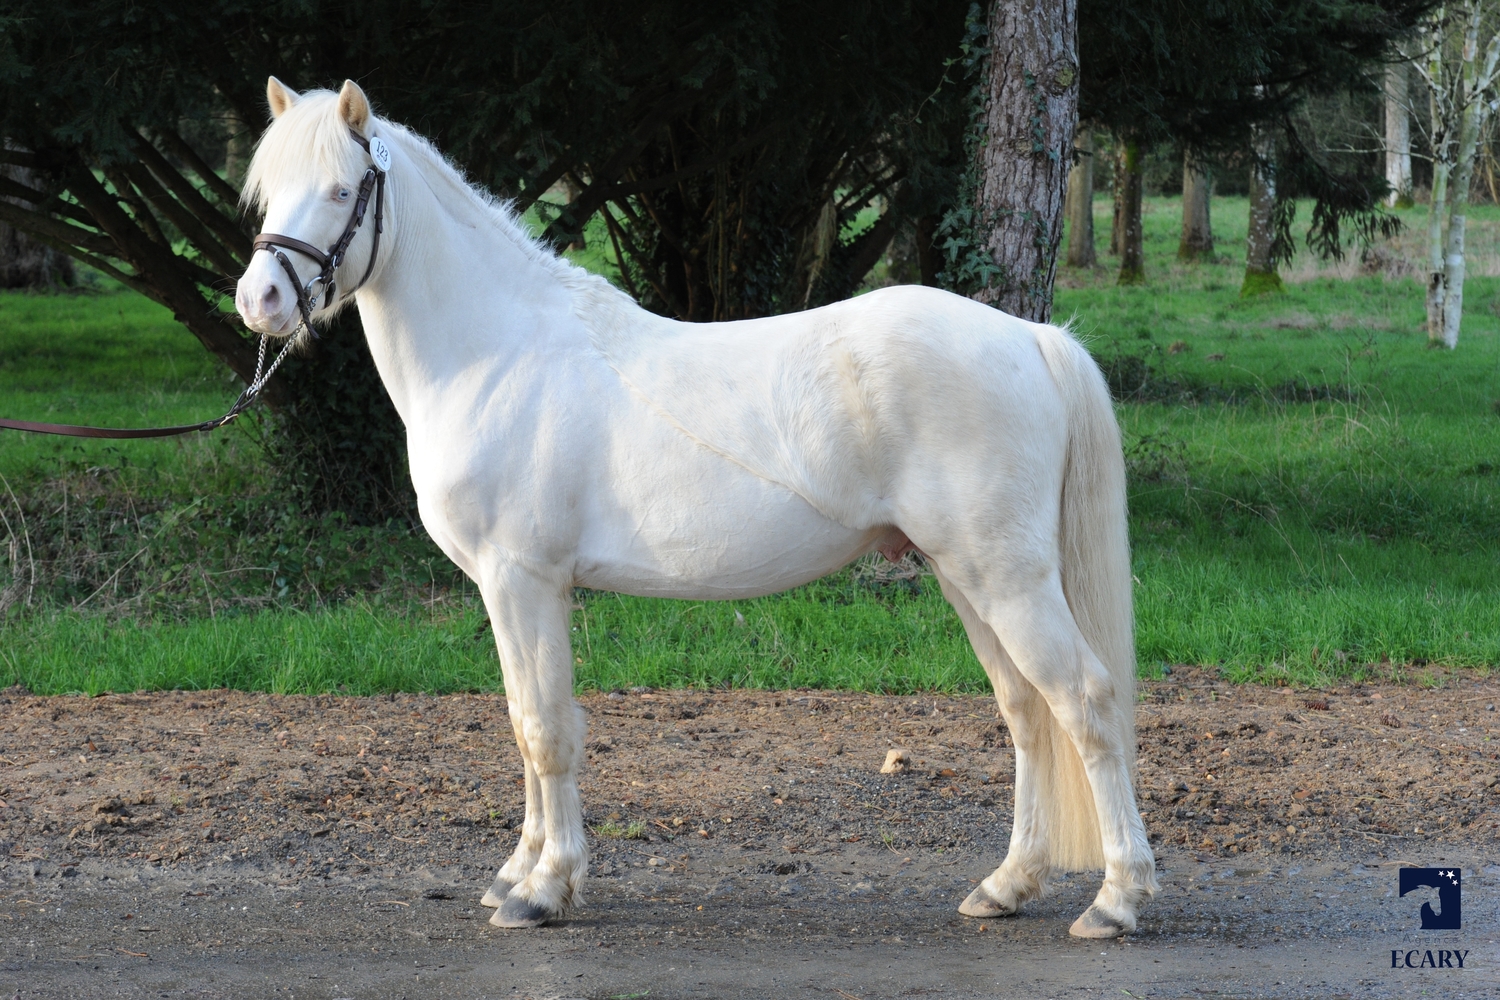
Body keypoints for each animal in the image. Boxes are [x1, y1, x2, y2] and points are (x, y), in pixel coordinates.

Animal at [234, 78, 1158, 941]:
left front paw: (543, 890)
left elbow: (546, 729)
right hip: (967, 579)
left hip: (1007, 580)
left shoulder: (522, 580)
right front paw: (517, 873)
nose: (259, 300)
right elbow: (526, 726)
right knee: (1027, 714)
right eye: (269, 191)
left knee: (1085, 702)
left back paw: (1117, 899)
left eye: (342, 190)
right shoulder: (512, 591)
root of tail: (1031, 338)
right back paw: (1006, 885)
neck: (496, 354)